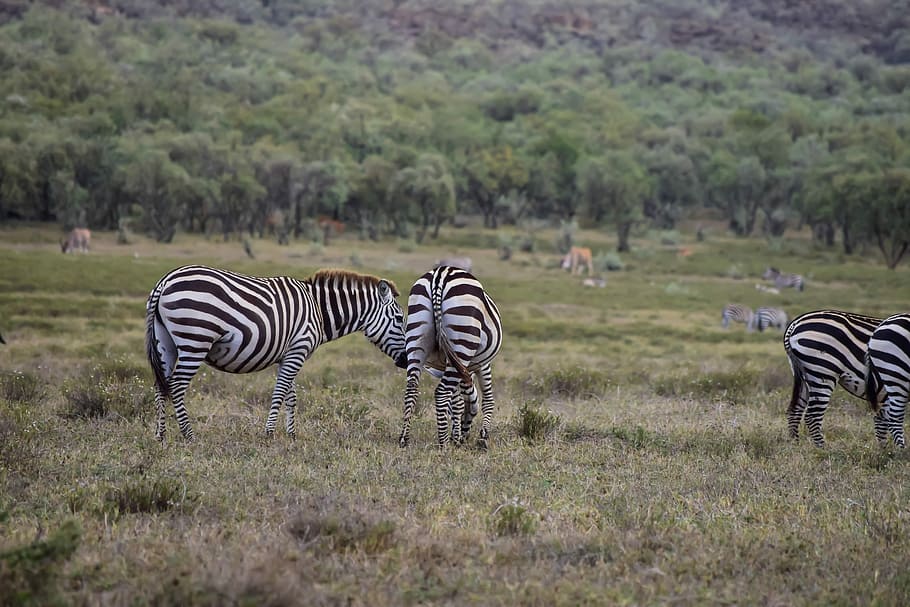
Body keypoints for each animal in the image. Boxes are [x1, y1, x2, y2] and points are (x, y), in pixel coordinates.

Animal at [145, 265, 407, 441]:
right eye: (399, 319)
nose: (406, 361)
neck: (319, 310)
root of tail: (165, 281)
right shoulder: (298, 350)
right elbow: (280, 392)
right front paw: (269, 433)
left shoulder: (289, 354)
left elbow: (291, 396)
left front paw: (291, 435)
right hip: (195, 340)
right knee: (177, 385)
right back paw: (189, 435)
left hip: (164, 342)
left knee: (161, 385)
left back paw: (160, 435)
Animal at [398, 266, 503, 449]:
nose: (463, 437)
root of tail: (440, 274)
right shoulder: (482, 365)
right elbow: (485, 400)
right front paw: (482, 437)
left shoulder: (455, 366)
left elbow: (458, 402)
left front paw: (457, 434)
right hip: (462, 339)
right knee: (441, 392)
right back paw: (444, 444)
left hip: (416, 337)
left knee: (411, 388)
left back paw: (404, 438)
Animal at [784, 309, 885, 446]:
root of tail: (795, 323)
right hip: (823, 372)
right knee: (813, 417)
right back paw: (822, 450)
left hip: (803, 376)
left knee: (795, 412)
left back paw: (795, 446)